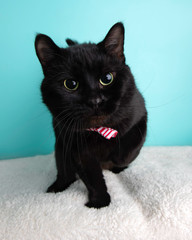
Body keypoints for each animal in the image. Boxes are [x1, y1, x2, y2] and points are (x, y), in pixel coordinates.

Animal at [35, 23, 147, 208]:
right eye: (70, 84)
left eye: (107, 78)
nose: (95, 100)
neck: (99, 129)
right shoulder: (76, 146)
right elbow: (92, 177)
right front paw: (99, 203)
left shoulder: (140, 117)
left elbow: (130, 148)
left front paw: (116, 158)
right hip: (60, 146)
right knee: (65, 171)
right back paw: (56, 188)